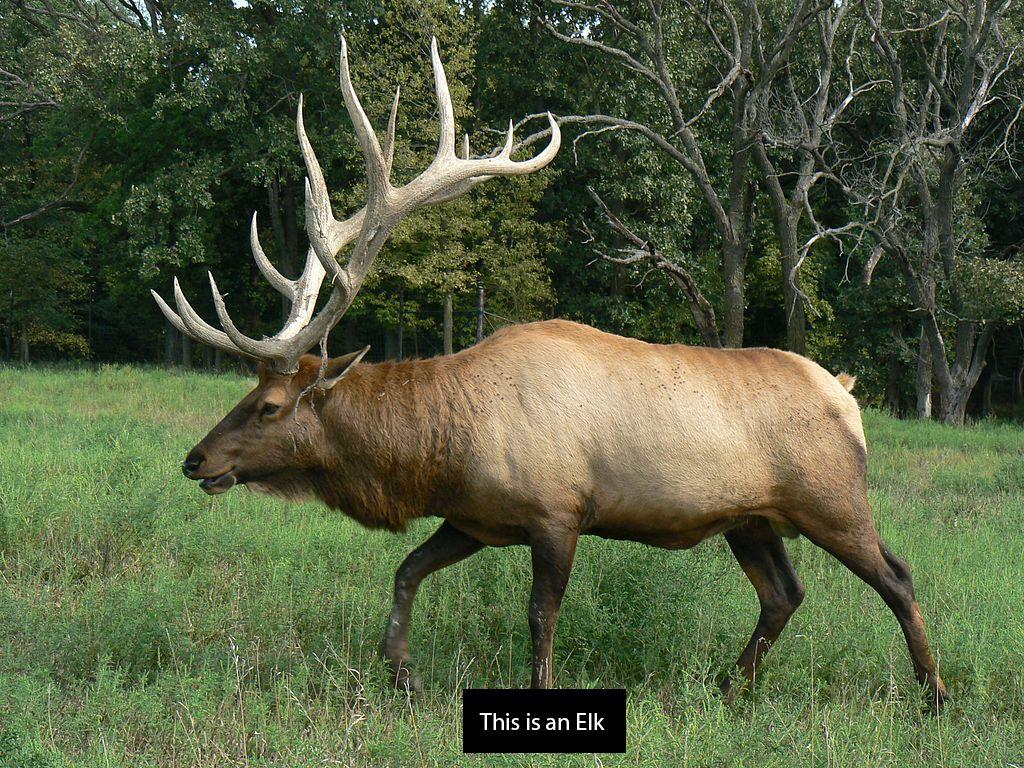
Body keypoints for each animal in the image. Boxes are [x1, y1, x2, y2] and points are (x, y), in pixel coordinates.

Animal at [153, 38, 948, 709]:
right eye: (248, 393)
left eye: (269, 405)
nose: (195, 460)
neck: (438, 450)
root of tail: (846, 394)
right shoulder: (473, 516)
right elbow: (407, 570)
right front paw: (400, 671)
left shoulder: (557, 511)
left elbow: (539, 616)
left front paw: (534, 687)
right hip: (751, 518)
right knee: (784, 593)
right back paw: (729, 688)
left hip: (832, 497)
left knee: (898, 575)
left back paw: (934, 695)